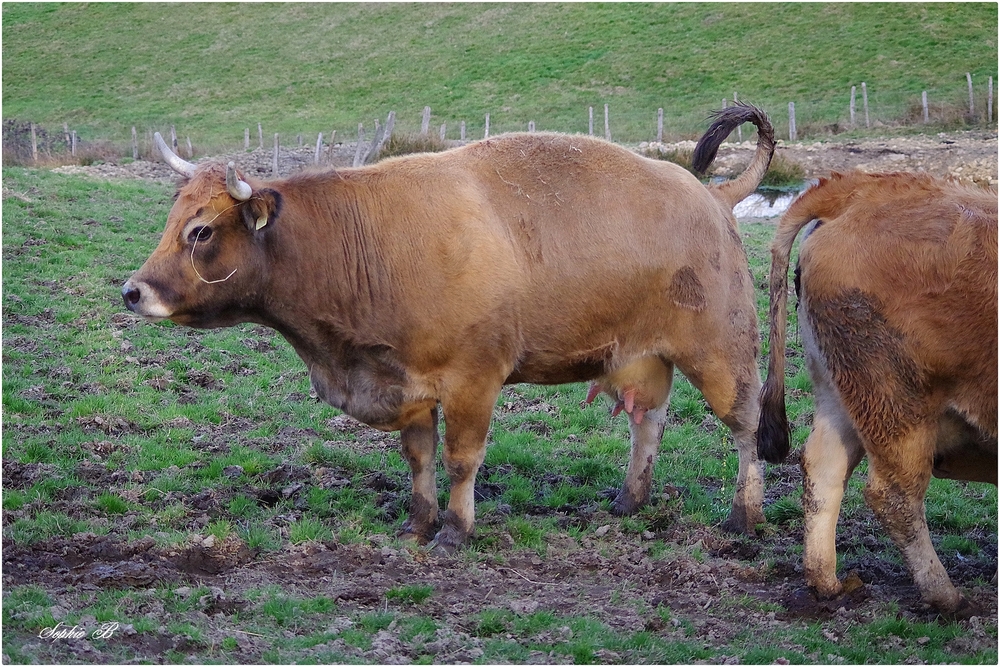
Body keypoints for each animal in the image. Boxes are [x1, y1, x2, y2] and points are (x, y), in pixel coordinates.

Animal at [125, 103, 776, 552]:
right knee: (649, 424)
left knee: (745, 428)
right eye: (174, 218)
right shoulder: (409, 387)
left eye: (202, 230)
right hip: (643, 359)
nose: (134, 291)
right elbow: (419, 458)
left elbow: (463, 458)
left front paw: (457, 531)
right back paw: (628, 501)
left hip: (722, 353)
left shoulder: (473, 381)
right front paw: (419, 523)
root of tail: (712, 194)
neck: (365, 243)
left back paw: (745, 518)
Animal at [760, 171, 996, 616]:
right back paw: (947, 596)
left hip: (840, 394)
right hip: (897, 405)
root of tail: (861, 189)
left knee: (823, 468)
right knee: (894, 496)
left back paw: (827, 582)